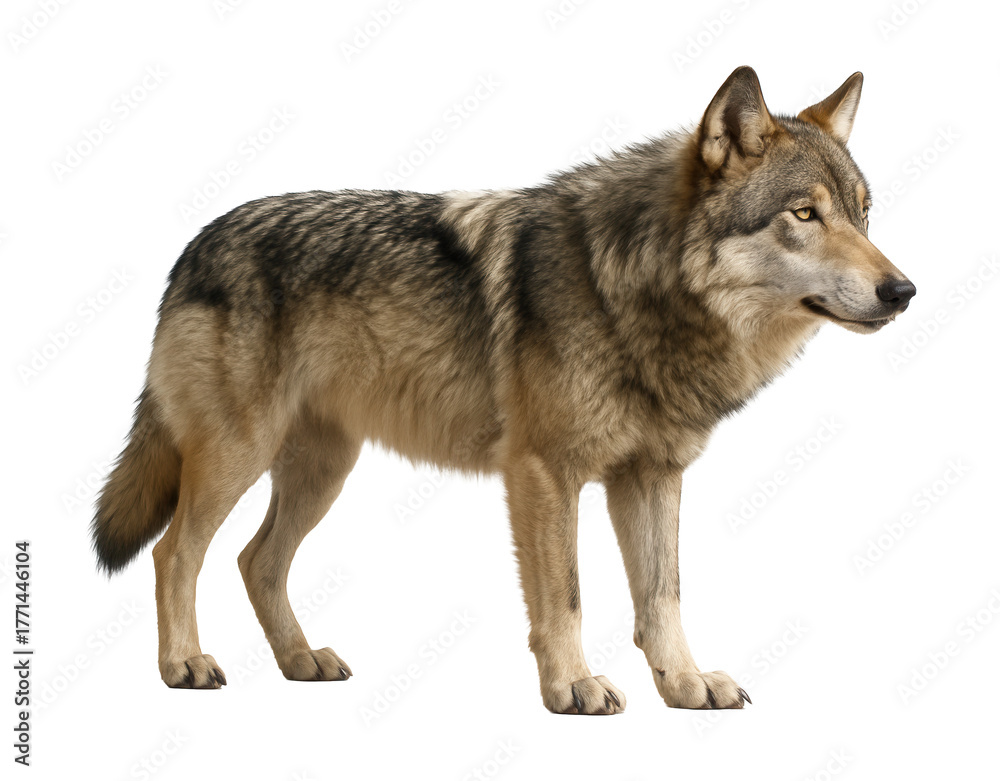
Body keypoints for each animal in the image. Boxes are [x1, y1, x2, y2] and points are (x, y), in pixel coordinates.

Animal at [92, 66, 914, 712]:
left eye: (864, 213)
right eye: (804, 214)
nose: (902, 290)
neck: (633, 288)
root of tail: (194, 245)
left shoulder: (652, 475)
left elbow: (663, 595)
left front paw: (683, 686)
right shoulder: (546, 474)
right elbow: (568, 596)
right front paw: (574, 686)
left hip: (324, 470)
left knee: (255, 561)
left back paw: (302, 662)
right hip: (239, 457)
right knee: (175, 553)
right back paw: (183, 664)